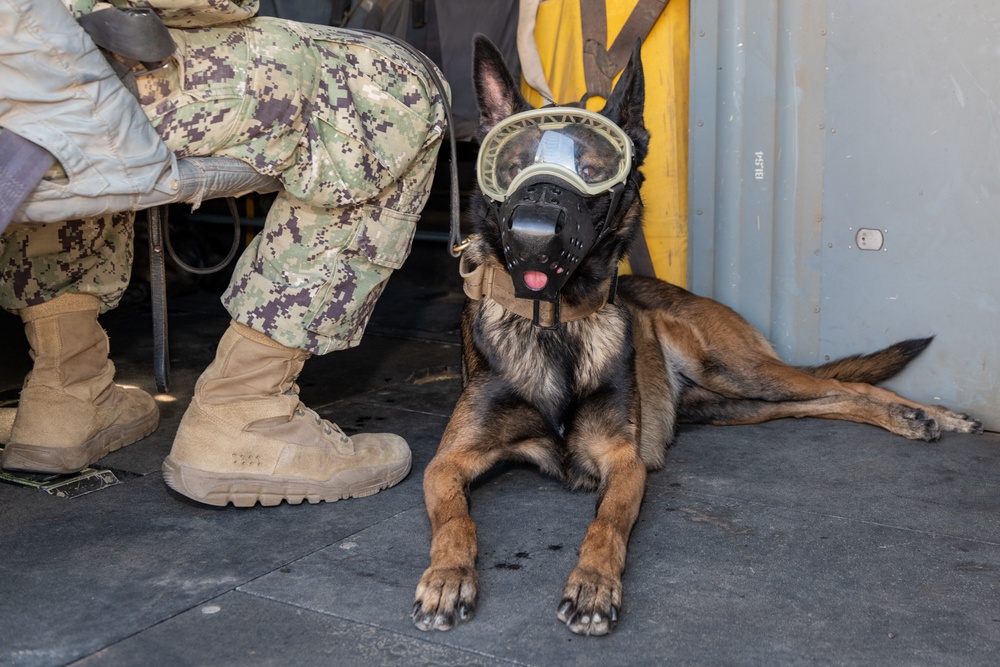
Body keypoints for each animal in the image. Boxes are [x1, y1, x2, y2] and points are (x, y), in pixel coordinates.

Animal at [410, 35, 980, 636]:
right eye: (512, 167)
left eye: (590, 169)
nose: (534, 234)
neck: (556, 326)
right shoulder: (447, 463)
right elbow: (455, 520)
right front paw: (447, 577)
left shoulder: (624, 461)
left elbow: (605, 527)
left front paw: (593, 585)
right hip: (734, 405)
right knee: (823, 400)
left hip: (737, 372)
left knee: (846, 386)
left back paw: (924, 415)